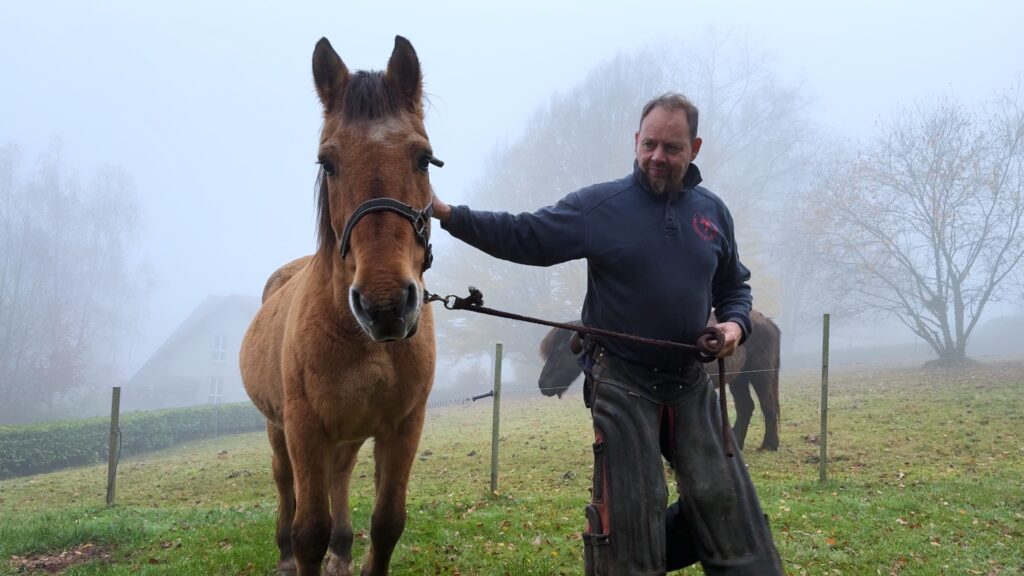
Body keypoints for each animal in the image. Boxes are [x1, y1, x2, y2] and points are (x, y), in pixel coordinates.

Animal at [240, 36, 439, 576]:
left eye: (423, 157)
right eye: (327, 162)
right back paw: (285, 554)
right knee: (285, 484)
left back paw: (344, 550)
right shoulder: (305, 430)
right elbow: (310, 530)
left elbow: (388, 522)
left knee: (341, 477)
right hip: (278, 430)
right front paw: (301, 551)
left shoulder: (403, 427)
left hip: (346, 436)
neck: (361, 338)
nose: (385, 305)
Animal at [538, 310, 782, 451]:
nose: (542, 384)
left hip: (761, 375)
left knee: (768, 406)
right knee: (746, 407)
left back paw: (769, 445)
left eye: (558, 352)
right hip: (739, 379)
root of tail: (768, 323)